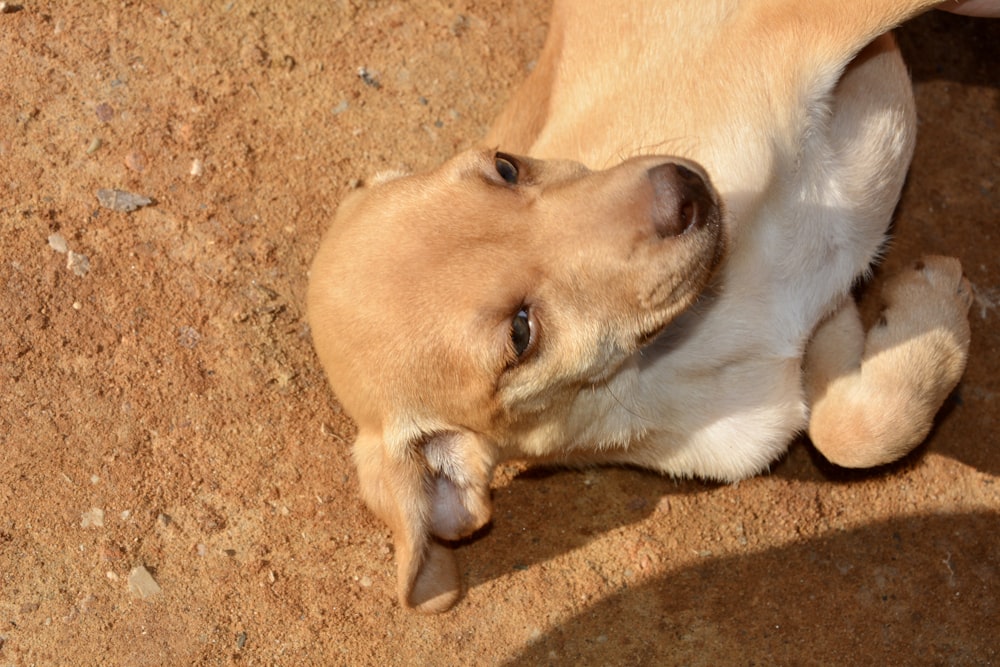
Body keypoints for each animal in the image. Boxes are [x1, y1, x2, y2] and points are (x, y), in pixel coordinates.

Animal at [308, 0, 972, 612]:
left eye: (505, 166)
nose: (682, 191)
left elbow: (855, 429)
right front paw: (936, 304)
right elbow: (852, 431)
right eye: (521, 333)